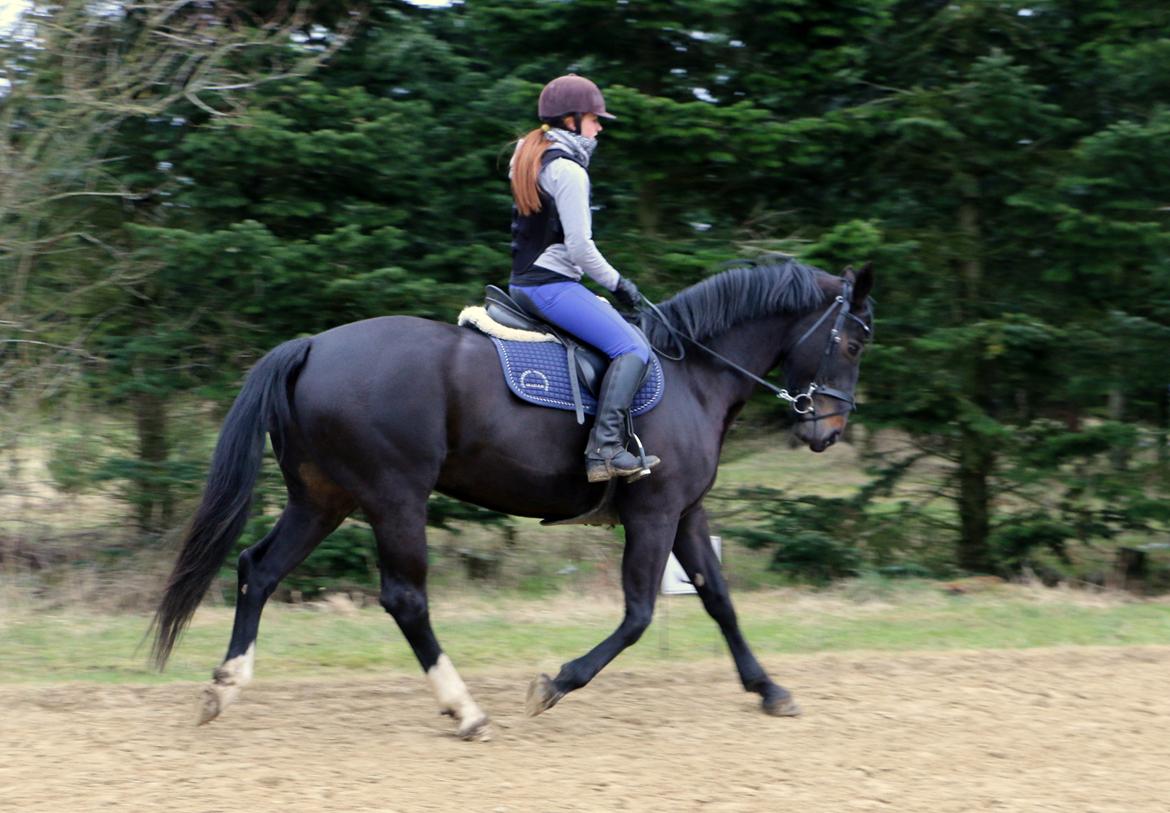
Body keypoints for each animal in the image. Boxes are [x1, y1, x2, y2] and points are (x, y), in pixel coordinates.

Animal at [150, 257, 875, 739]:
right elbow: (639, 615)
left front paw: (769, 689)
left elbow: (719, 600)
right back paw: (466, 710)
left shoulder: (686, 512)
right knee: (405, 599)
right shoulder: (654, 513)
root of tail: (311, 347)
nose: (829, 430)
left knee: (259, 569)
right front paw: (553, 684)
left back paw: (224, 687)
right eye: (850, 340)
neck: (692, 372)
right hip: (394, 498)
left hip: (324, 498)